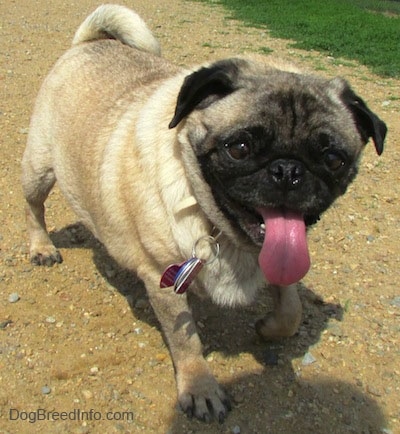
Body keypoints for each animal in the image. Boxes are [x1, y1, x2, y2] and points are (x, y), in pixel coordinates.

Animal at [21, 3, 384, 424]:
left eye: (333, 159)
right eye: (239, 148)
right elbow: (186, 340)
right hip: (39, 169)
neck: (220, 229)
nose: (288, 171)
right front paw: (200, 388)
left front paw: (270, 327)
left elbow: (292, 306)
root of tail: (89, 42)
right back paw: (41, 247)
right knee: (33, 207)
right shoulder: (165, 279)